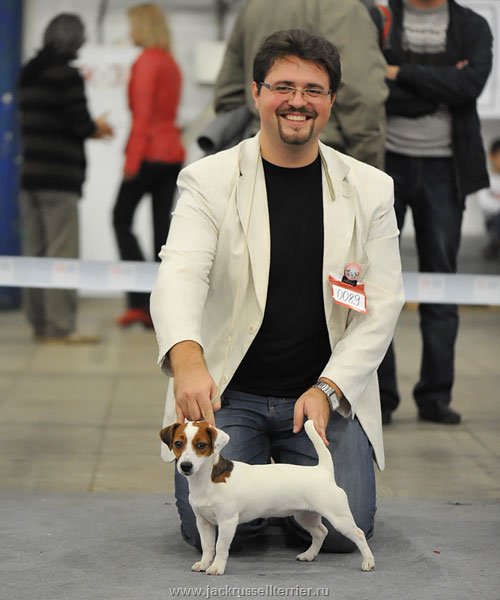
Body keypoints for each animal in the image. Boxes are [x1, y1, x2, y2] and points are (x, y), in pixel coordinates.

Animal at [160, 419, 375, 575]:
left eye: (201, 445)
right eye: (178, 443)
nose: (185, 466)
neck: (207, 480)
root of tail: (323, 471)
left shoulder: (227, 521)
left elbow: (220, 546)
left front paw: (217, 567)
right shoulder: (203, 522)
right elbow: (207, 546)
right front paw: (204, 563)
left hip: (338, 517)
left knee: (358, 534)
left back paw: (368, 561)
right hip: (305, 515)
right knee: (321, 532)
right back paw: (309, 554)